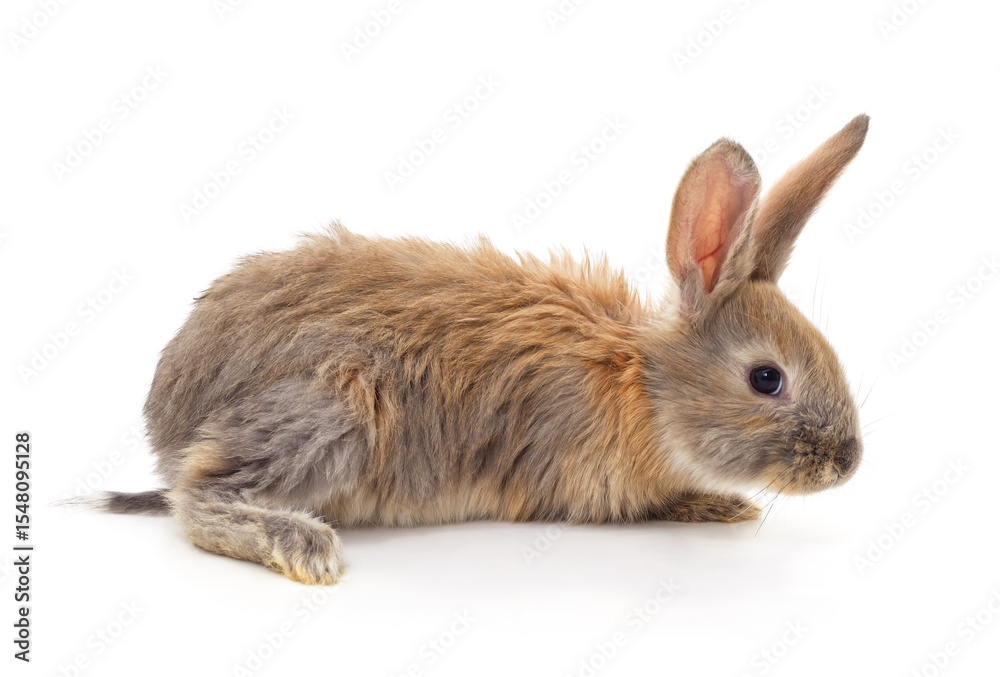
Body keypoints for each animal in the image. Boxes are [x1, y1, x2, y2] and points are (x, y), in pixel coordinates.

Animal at [86, 114, 869, 585]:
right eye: (766, 378)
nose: (849, 462)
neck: (643, 387)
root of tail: (169, 420)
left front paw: (722, 504)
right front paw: (714, 505)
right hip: (332, 411)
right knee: (196, 495)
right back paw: (303, 544)